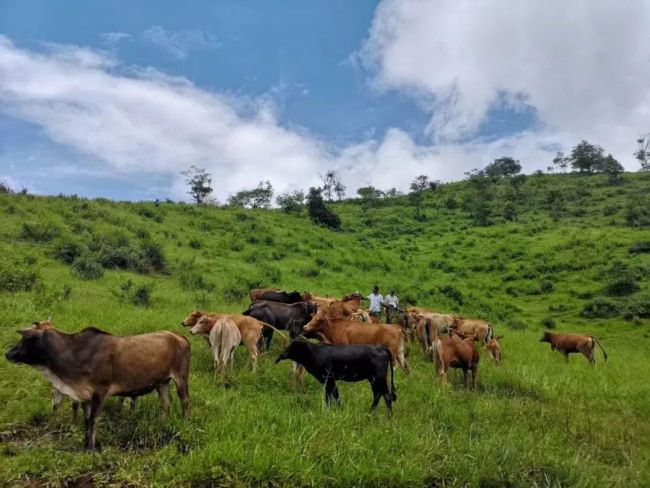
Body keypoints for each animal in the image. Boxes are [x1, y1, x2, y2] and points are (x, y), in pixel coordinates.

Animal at [5, 324, 189, 450]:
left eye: (26, 339)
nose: (8, 353)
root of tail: (178, 335)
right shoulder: (85, 395)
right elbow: (86, 420)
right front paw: (85, 444)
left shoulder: (101, 391)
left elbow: (93, 420)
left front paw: (92, 448)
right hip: (162, 383)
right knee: (166, 404)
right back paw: (162, 424)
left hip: (181, 378)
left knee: (185, 401)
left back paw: (184, 421)